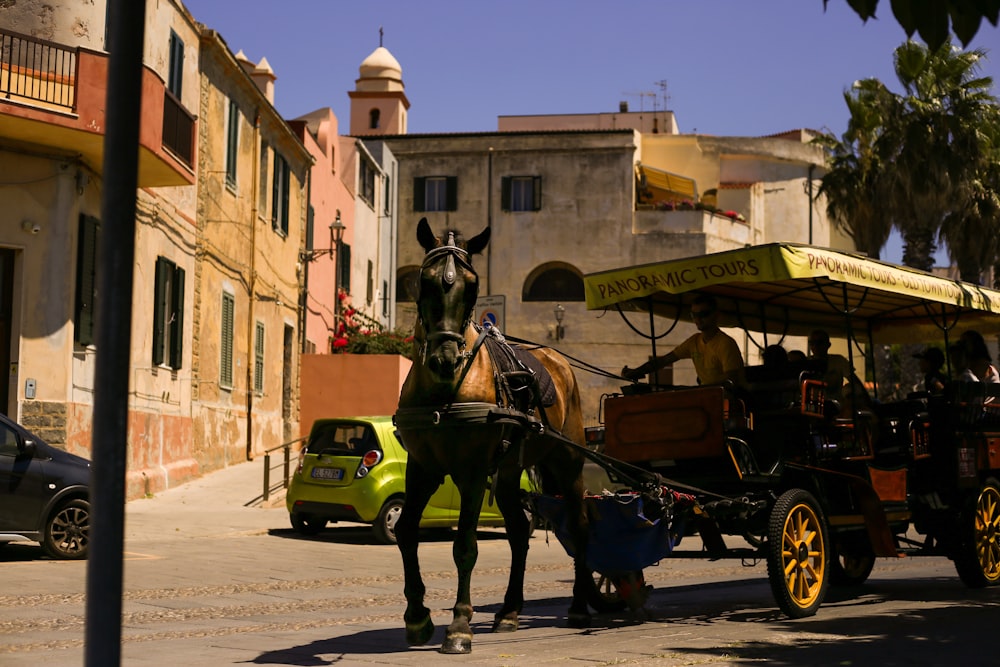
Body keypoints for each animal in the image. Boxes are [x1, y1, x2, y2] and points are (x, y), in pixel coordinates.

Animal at [394, 218, 596, 652]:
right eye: (424, 281)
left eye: (472, 286)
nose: (445, 359)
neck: (446, 389)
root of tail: (558, 360)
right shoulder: (421, 469)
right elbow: (405, 532)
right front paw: (417, 616)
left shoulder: (470, 472)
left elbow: (465, 545)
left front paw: (459, 625)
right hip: (507, 473)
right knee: (519, 532)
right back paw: (509, 611)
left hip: (568, 463)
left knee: (579, 524)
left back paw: (579, 605)